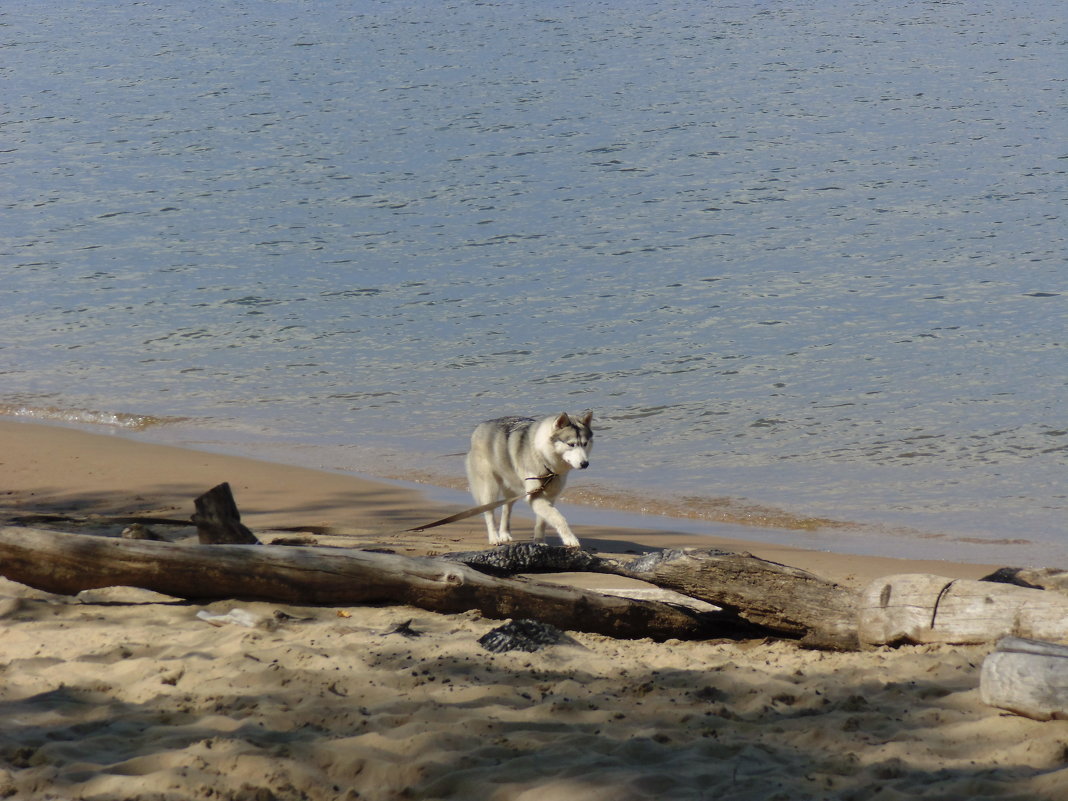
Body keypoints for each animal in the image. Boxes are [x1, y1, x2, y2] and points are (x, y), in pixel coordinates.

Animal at [465, 410, 598, 551]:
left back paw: (504, 533)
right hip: (490, 487)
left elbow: (542, 522)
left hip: (511, 487)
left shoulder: (549, 497)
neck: (545, 460)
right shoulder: (535, 495)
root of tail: (481, 426)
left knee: (506, 509)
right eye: (571, 444)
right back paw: (494, 537)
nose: (585, 464)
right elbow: (557, 517)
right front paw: (570, 538)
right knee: (489, 512)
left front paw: (539, 541)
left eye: (585, 444)